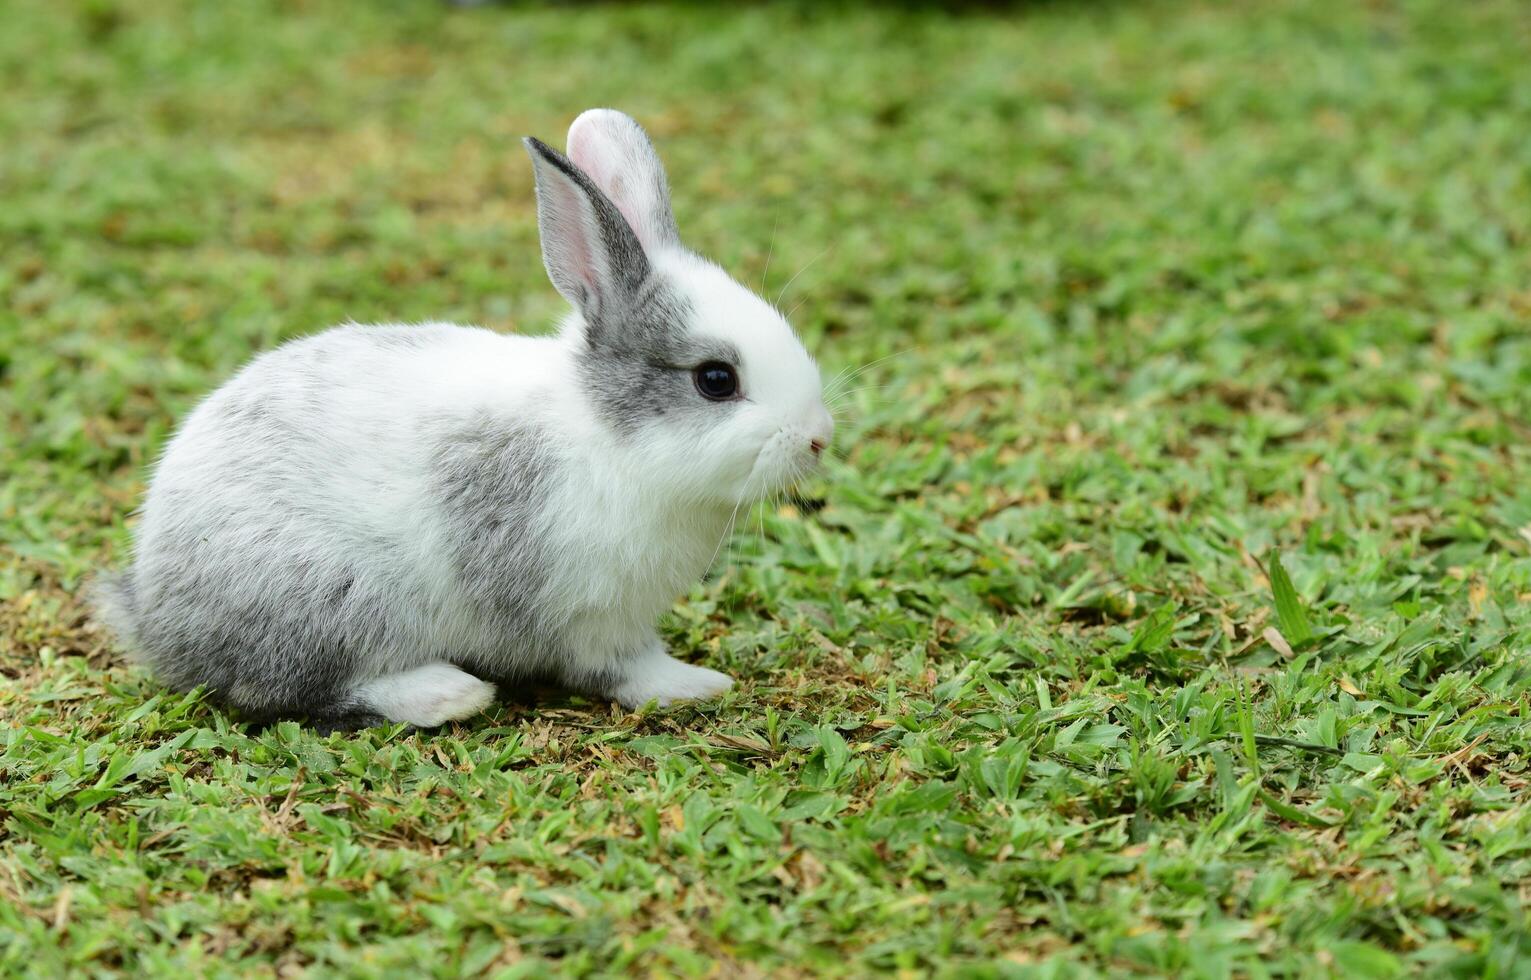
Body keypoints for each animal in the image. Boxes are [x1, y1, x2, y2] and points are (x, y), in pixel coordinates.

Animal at [92, 111, 838, 731]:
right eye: (716, 380)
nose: (817, 438)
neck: (606, 435)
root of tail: (153, 615)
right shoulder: (593, 618)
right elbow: (622, 670)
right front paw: (692, 685)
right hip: (334, 600)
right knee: (290, 690)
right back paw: (448, 694)